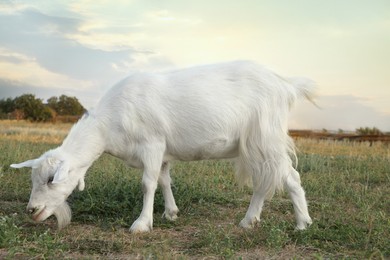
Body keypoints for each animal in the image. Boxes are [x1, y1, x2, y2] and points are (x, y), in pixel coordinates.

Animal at [10, 60, 314, 232]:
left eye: (51, 179)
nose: (32, 211)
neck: (108, 124)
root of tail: (286, 85)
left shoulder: (152, 144)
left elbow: (148, 184)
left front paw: (142, 224)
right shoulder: (164, 153)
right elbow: (165, 180)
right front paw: (170, 213)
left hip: (266, 137)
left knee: (290, 177)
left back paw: (302, 224)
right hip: (251, 146)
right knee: (264, 182)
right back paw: (249, 221)